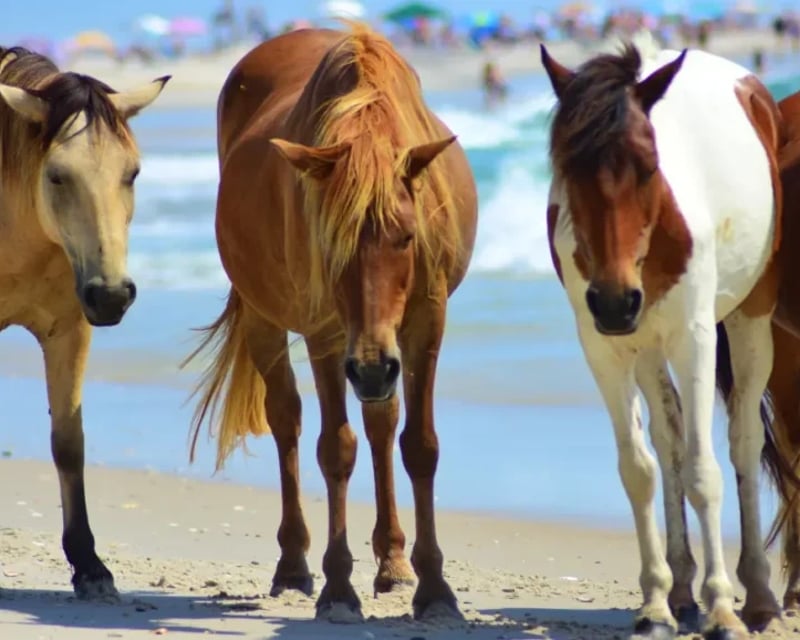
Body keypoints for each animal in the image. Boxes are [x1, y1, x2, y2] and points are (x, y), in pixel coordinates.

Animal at [0, 47, 168, 597]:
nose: (112, 295)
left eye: (131, 173)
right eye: (57, 175)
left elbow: (68, 443)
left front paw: (89, 564)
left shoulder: (70, 332)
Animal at [182, 22, 477, 622]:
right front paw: (338, 589)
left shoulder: (424, 323)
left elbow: (419, 445)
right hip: (265, 319)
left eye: (406, 236)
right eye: (328, 241)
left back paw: (393, 562)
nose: (370, 368)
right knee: (286, 420)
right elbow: (335, 449)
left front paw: (435, 588)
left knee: (382, 424)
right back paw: (294, 565)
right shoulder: (327, 332)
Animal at [542, 36, 783, 640]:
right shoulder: (603, 348)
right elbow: (641, 468)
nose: (613, 300)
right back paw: (679, 592)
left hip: (749, 319)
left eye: (650, 168)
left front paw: (722, 608)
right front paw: (655, 602)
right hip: (646, 346)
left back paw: (759, 597)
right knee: (669, 437)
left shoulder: (694, 339)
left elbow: (702, 471)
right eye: (566, 170)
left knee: (742, 439)